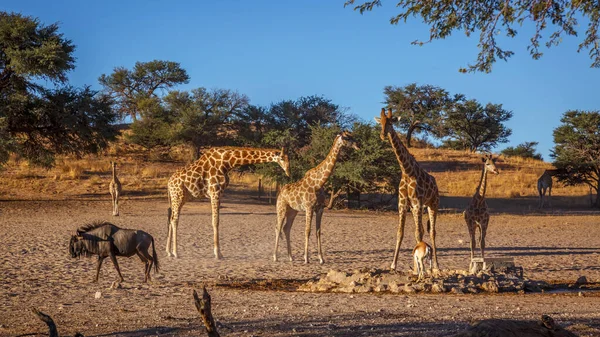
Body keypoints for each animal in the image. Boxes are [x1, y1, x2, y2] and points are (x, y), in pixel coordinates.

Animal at [274, 130, 358, 264]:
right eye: (347, 137)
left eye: (352, 136)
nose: (357, 145)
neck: (319, 183)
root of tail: (280, 192)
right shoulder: (309, 208)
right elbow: (307, 231)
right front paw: (306, 258)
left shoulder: (320, 209)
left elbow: (318, 231)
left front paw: (321, 258)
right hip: (281, 208)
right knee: (278, 227)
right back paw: (275, 256)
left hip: (292, 211)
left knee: (286, 228)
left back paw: (291, 257)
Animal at [376, 107, 440, 270]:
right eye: (381, 122)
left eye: (390, 122)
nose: (382, 135)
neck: (406, 171)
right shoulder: (403, 203)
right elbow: (400, 232)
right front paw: (393, 264)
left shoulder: (417, 203)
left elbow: (419, 233)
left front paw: (418, 266)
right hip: (418, 207)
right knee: (424, 230)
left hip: (433, 204)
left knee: (432, 232)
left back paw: (436, 265)